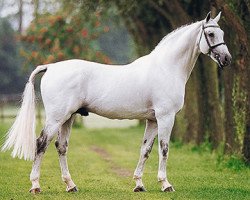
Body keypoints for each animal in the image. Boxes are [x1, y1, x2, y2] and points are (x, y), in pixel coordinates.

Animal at [2, 11, 232, 193]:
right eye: (211, 34)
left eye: (222, 33)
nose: (227, 59)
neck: (166, 68)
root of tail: (50, 66)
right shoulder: (165, 117)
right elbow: (164, 149)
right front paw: (165, 184)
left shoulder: (152, 120)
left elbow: (145, 150)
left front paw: (139, 184)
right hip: (56, 118)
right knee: (41, 144)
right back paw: (35, 185)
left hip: (68, 118)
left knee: (61, 146)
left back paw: (71, 185)